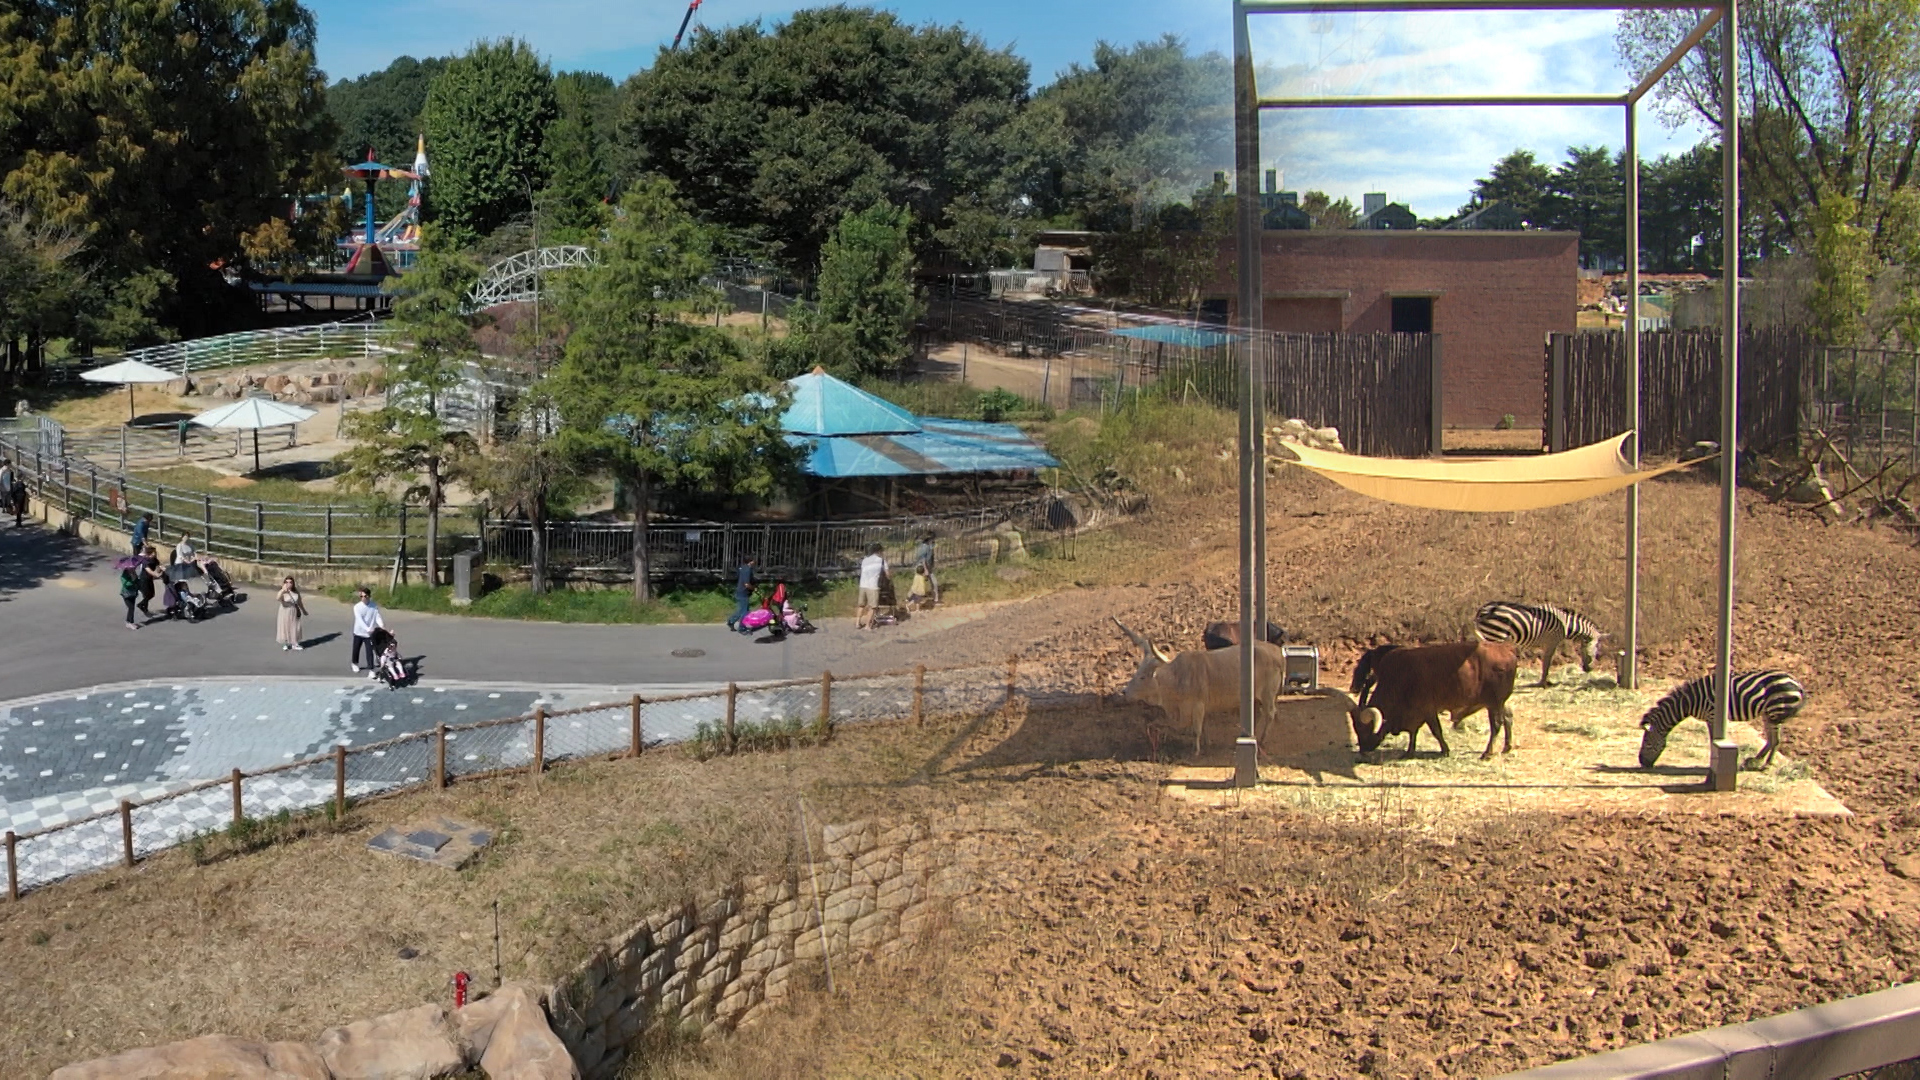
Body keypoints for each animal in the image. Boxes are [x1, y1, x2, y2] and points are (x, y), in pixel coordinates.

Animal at [1113, 618, 1290, 753]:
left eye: (1142, 677)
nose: (1124, 692)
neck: (1176, 678)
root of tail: (1277, 653)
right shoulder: (1199, 707)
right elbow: (1200, 727)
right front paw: (1206, 743)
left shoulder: (1196, 706)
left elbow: (1195, 729)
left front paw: (1196, 750)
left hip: (1267, 695)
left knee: (1270, 714)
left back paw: (1262, 739)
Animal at [1351, 638, 1512, 757]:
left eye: (1364, 728)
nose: (1363, 750)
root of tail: (1508, 650)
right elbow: (1414, 732)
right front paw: (1409, 752)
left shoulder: (1427, 710)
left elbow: (1436, 731)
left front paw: (1445, 750)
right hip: (1499, 704)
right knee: (1508, 718)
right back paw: (1506, 747)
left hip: (1494, 704)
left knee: (1496, 725)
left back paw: (1487, 753)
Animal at [1466, 599, 1605, 684]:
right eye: (1596, 649)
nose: (1588, 669)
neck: (1565, 625)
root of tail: (1483, 609)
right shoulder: (1552, 642)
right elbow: (1547, 663)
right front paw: (1544, 683)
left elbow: (1545, 662)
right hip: (1496, 634)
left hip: (1488, 634)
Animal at [1635, 668, 1797, 768]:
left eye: (1647, 743)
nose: (1642, 763)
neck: (1688, 702)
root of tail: (1796, 681)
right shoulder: (1709, 717)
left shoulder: (1712, 715)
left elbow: (1713, 738)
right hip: (1768, 714)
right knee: (1770, 739)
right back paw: (1755, 760)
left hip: (1775, 712)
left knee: (1776, 740)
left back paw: (1766, 764)